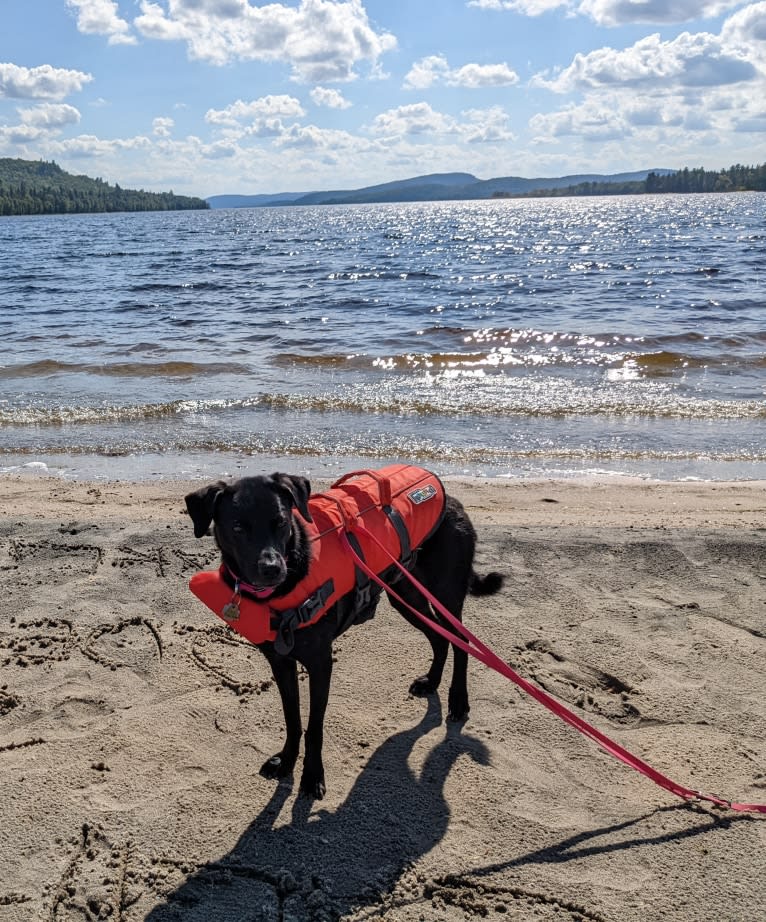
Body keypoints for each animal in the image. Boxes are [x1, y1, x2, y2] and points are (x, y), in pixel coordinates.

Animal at [186, 470, 504, 796]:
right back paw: (431, 682)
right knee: (440, 638)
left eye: (281, 521)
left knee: (461, 640)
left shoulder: (320, 663)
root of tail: (452, 499)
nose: (272, 569)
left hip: (445, 592)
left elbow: (313, 727)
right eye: (238, 527)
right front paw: (286, 761)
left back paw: (458, 699)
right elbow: (292, 719)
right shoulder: (281, 662)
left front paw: (313, 775)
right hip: (405, 594)